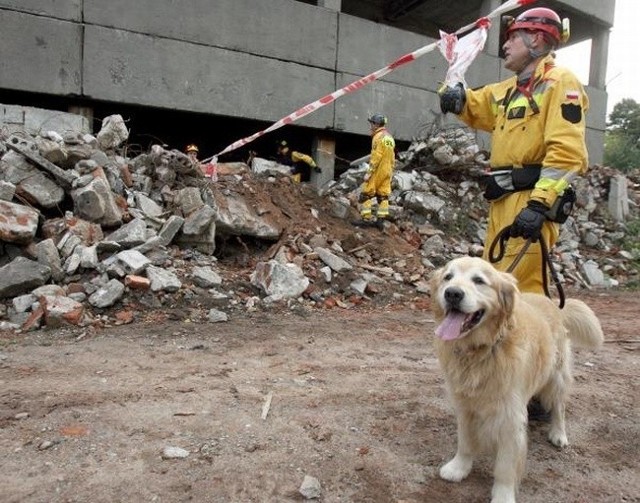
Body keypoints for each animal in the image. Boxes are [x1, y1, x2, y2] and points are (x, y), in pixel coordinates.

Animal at [430, 258, 604, 502]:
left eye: (479, 280)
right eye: (448, 277)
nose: (452, 293)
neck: (481, 350)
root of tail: (553, 303)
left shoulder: (510, 417)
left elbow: (505, 465)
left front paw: (503, 494)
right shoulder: (465, 406)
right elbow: (465, 442)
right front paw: (459, 468)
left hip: (557, 377)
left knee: (559, 407)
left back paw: (558, 433)